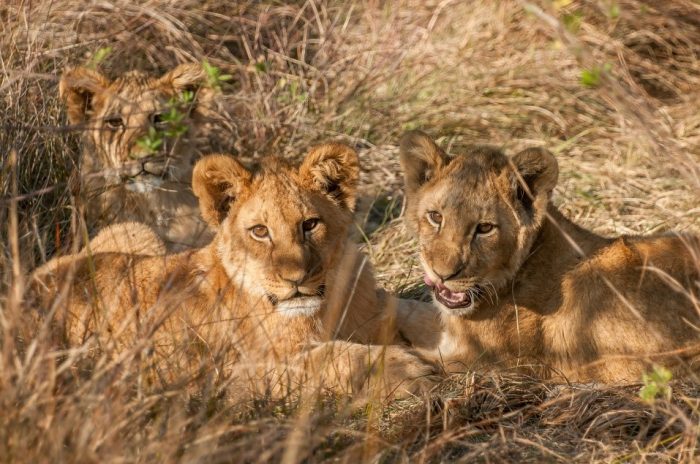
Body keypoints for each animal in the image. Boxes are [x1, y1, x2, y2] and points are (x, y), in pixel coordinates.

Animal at [28, 143, 438, 399]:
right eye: (260, 231)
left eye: (309, 224)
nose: (296, 280)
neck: (327, 305)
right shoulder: (237, 376)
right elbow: (330, 359)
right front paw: (406, 371)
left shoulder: (373, 306)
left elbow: (413, 310)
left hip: (136, 232)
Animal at [396, 130, 700, 383]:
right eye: (435, 217)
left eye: (484, 228)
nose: (442, 274)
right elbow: (410, 309)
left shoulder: (482, 362)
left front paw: (404, 367)